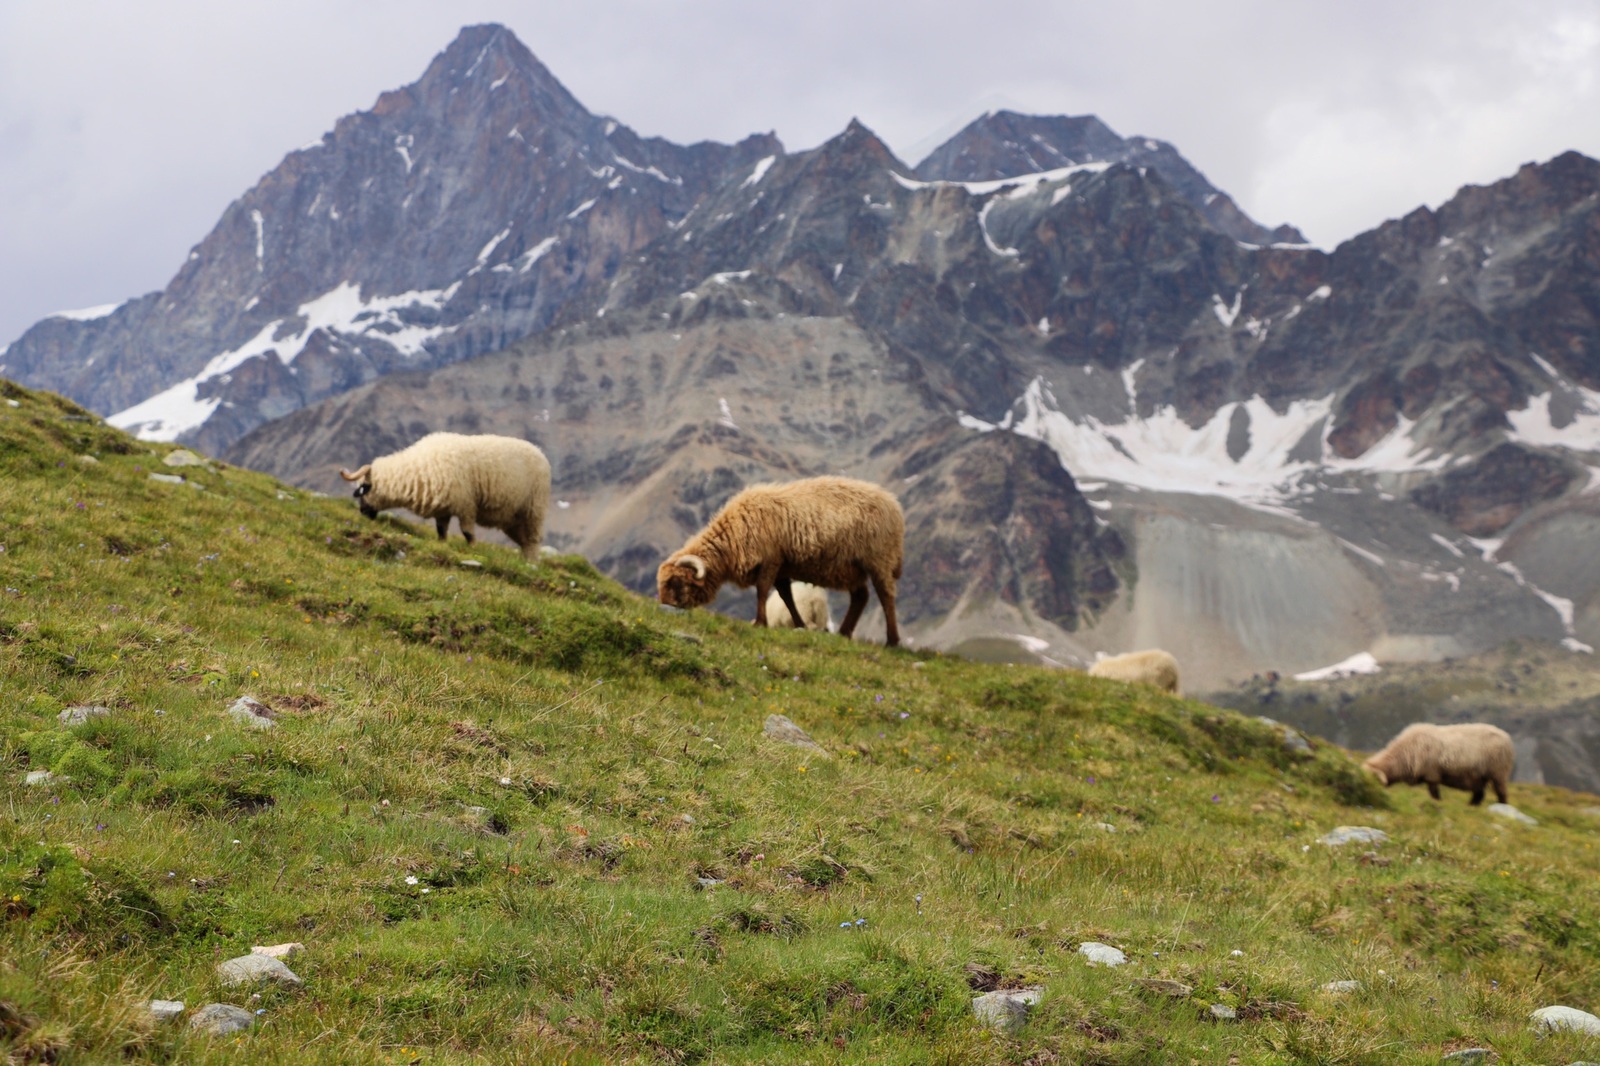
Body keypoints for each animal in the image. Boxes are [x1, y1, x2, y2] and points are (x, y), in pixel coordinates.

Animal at [337, 428, 550, 560]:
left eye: (364, 488)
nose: (363, 513)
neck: (414, 472)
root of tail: (540, 452)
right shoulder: (443, 509)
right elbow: (441, 531)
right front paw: (442, 546)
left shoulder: (466, 505)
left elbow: (467, 532)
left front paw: (473, 550)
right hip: (513, 519)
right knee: (525, 542)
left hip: (534, 510)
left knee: (533, 541)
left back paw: (530, 563)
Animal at [659, 473, 908, 643]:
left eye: (677, 582)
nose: (666, 608)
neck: (731, 540)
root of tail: (893, 504)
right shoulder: (782, 567)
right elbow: (785, 596)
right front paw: (799, 624)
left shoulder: (772, 559)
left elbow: (762, 590)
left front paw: (759, 622)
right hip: (850, 568)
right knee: (861, 597)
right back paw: (845, 632)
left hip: (879, 559)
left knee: (886, 596)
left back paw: (892, 641)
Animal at [1363, 717, 1510, 800]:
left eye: (1373, 780)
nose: (1371, 793)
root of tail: (1506, 736)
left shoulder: (1432, 775)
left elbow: (1435, 795)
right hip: (1480, 777)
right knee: (1479, 795)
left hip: (1499, 773)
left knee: (1501, 794)